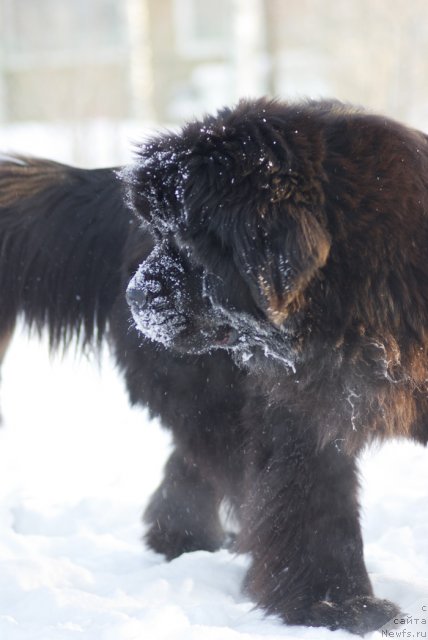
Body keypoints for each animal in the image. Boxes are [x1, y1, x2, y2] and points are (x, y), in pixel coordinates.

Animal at [0, 97, 428, 632]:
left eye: (187, 239)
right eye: (160, 234)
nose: (136, 297)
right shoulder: (303, 414)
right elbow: (318, 512)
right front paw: (337, 607)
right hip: (211, 392)